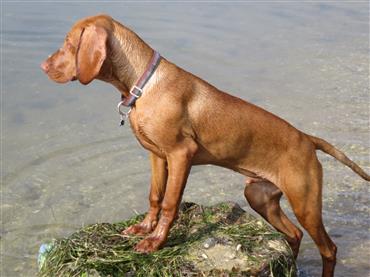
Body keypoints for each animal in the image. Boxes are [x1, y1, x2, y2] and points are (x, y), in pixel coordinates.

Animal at [42, 15, 368, 276]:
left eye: (69, 43)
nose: (43, 66)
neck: (143, 85)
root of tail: (306, 138)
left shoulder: (180, 155)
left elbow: (170, 203)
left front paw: (155, 242)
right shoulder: (156, 156)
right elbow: (155, 196)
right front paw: (144, 229)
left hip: (305, 203)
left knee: (328, 248)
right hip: (259, 196)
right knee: (295, 235)